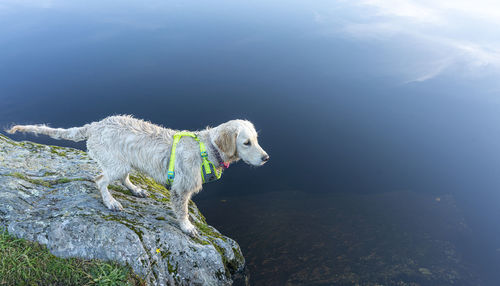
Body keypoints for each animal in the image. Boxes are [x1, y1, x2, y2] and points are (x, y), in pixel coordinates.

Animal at [5, 115, 268, 236]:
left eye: (256, 139)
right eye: (246, 143)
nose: (266, 158)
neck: (206, 148)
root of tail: (95, 126)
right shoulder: (180, 190)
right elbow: (182, 212)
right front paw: (187, 227)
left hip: (126, 162)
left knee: (122, 179)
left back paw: (136, 190)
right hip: (116, 164)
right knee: (100, 181)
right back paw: (111, 202)